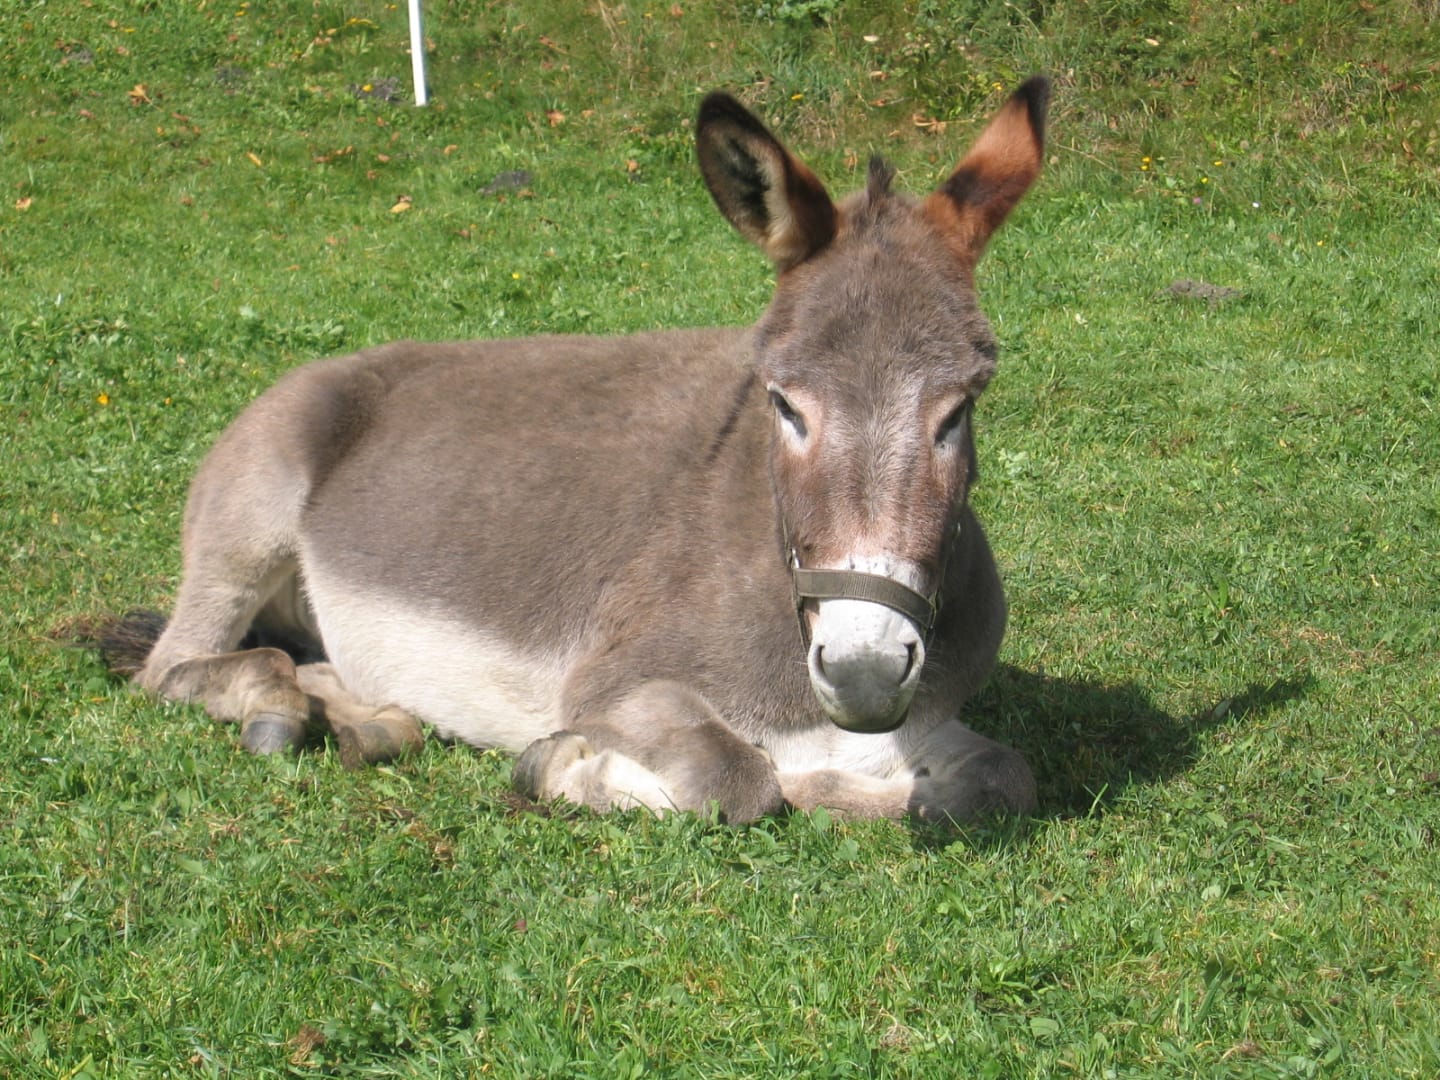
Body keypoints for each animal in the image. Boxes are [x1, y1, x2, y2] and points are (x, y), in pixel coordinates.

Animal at [101, 78, 1050, 824]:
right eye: (784, 404)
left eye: (960, 409)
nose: (863, 673)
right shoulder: (613, 683)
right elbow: (736, 776)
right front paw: (572, 768)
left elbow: (1000, 780)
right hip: (249, 517)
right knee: (177, 664)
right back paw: (276, 706)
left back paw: (364, 718)